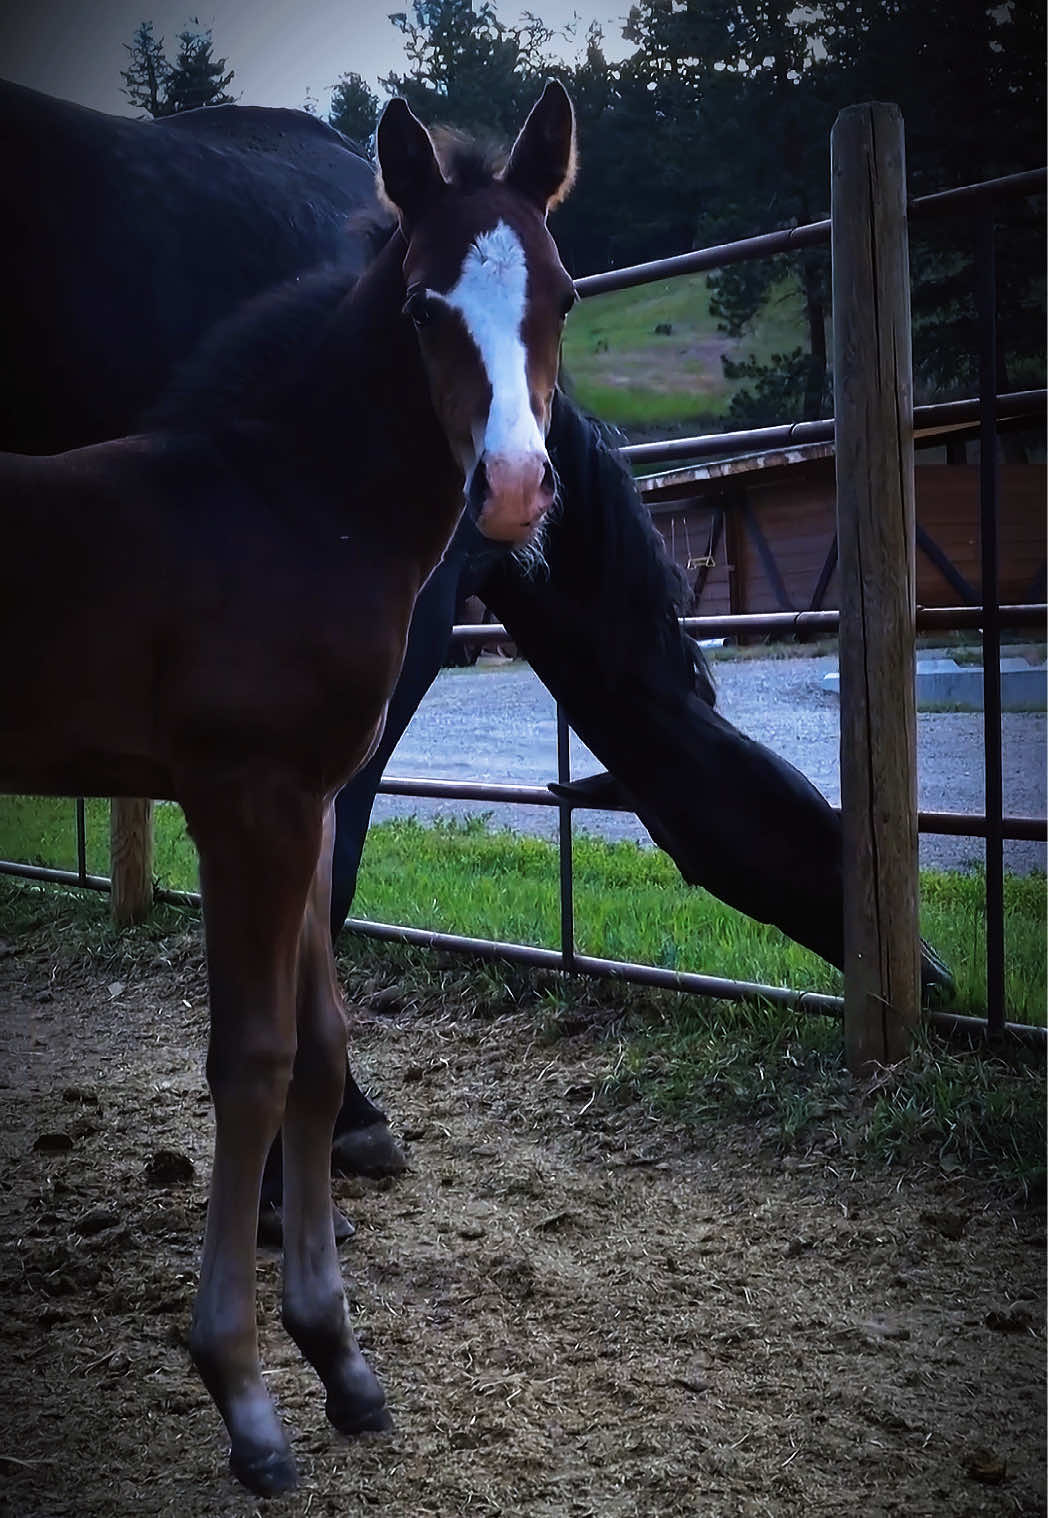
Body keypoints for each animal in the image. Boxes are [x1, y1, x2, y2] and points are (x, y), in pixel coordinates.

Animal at [1, 83, 579, 1495]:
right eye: (422, 305)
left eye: (562, 294)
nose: (515, 489)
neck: (286, 504)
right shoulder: (243, 801)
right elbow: (251, 1063)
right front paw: (245, 1400)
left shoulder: (312, 802)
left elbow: (318, 1056)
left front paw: (341, 1360)